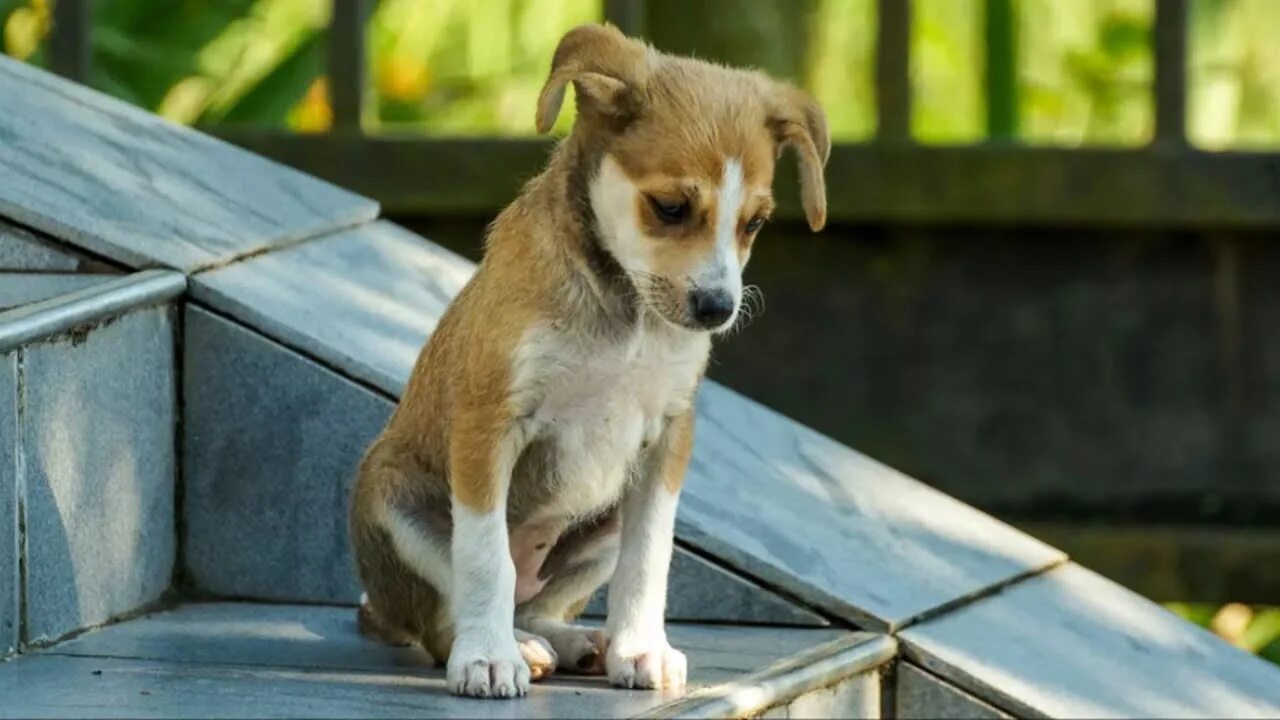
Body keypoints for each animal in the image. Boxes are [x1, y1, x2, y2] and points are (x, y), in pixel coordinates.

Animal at [350, 20, 829, 696]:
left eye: (755, 223)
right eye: (671, 207)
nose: (717, 307)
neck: (626, 315)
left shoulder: (667, 439)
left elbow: (648, 559)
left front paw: (641, 648)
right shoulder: (488, 423)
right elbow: (485, 558)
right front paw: (488, 658)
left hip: (602, 522)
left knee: (538, 602)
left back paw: (575, 642)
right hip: (389, 491)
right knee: (451, 617)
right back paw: (510, 646)